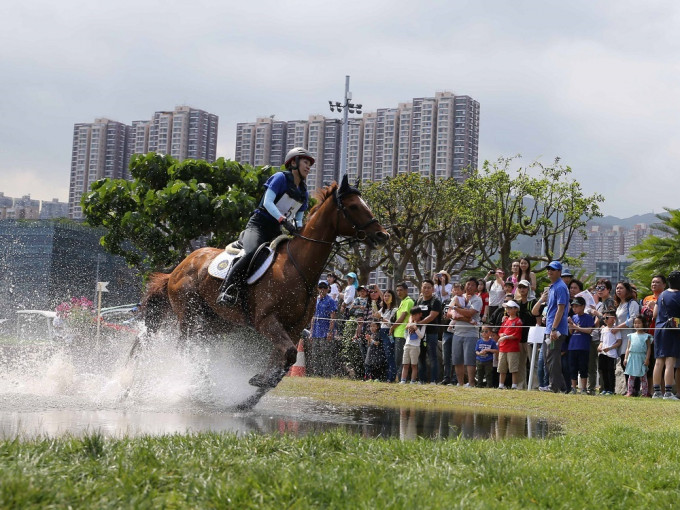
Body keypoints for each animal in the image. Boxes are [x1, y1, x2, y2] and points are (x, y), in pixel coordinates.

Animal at [138, 175, 388, 406]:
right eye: (354, 206)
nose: (382, 235)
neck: (298, 268)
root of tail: (177, 269)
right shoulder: (266, 321)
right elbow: (287, 355)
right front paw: (258, 382)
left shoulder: (294, 328)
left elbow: (284, 360)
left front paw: (251, 396)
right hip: (190, 316)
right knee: (185, 348)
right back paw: (187, 386)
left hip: (216, 323)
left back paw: (203, 387)